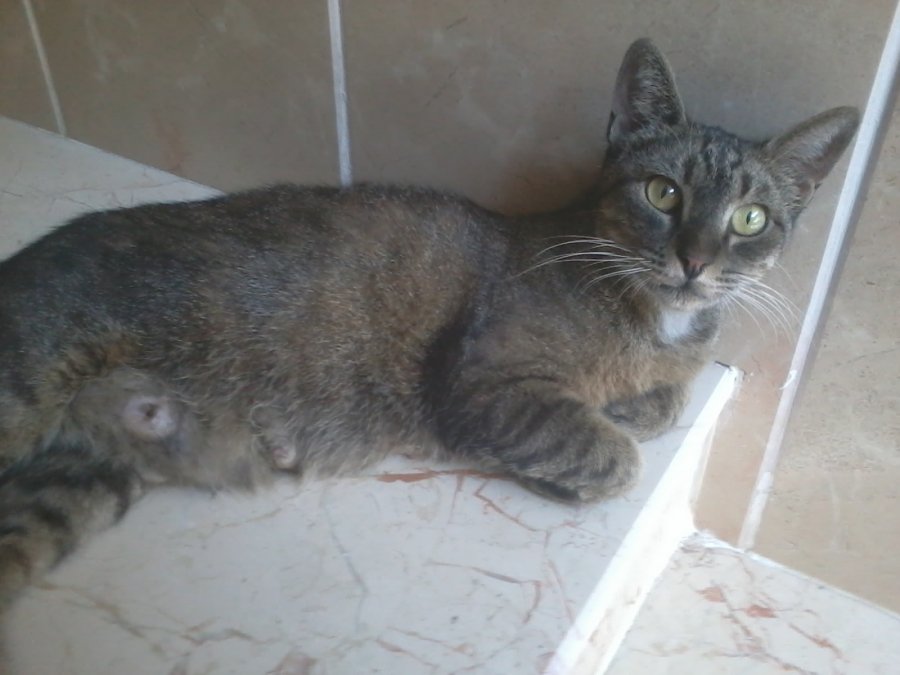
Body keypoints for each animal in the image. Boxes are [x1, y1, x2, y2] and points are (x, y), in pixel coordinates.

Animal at [0, 38, 858, 612]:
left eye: (750, 218)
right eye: (663, 192)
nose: (695, 259)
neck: (647, 316)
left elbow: (660, 407)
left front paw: (635, 406)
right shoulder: (483, 383)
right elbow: (615, 456)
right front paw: (565, 470)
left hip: (73, 483)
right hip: (26, 392)